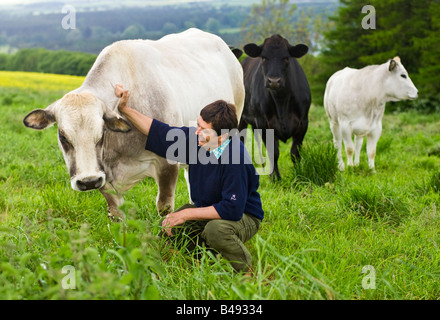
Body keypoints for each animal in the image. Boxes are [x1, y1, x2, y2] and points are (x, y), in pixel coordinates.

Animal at [23, 28, 244, 219]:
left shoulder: (167, 165)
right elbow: (117, 212)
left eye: (101, 133)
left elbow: (165, 208)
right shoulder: (105, 176)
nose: (88, 181)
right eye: (63, 136)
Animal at [239, 35, 312, 180]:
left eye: (286, 57)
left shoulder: (303, 122)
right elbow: (273, 152)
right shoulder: (264, 124)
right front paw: (275, 178)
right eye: (264, 57)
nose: (273, 81)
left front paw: (298, 174)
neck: (281, 101)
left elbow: (295, 152)